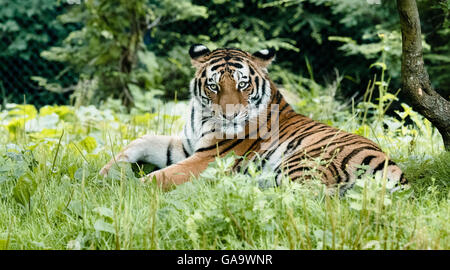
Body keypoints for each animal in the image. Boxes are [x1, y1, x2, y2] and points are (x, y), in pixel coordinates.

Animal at [99, 43, 408, 194]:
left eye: (243, 84)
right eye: (213, 86)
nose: (230, 115)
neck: (201, 116)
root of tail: (392, 168)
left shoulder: (208, 158)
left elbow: (161, 177)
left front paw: (123, 191)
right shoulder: (186, 147)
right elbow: (142, 140)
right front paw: (106, 172)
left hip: (300, 163)